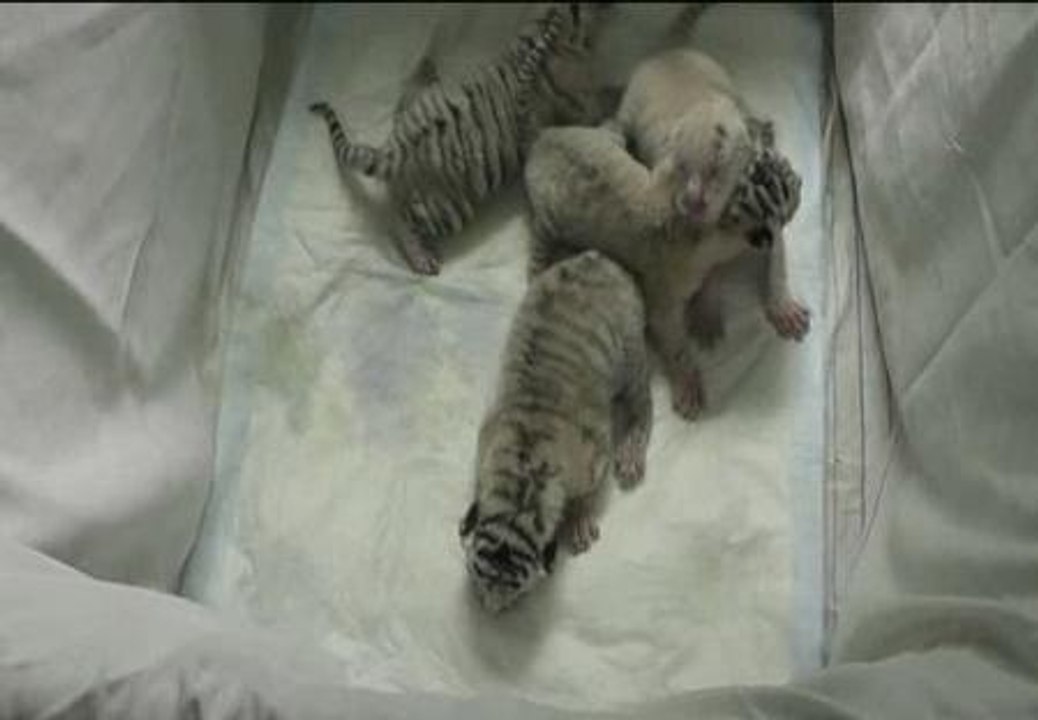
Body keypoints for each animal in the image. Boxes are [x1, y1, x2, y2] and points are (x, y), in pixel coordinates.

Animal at [310, 3, 612, 276]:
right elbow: (593, 109)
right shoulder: (577, 101)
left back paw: (425, 69)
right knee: (401, 223)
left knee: (405, 102)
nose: (608, 7)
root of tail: (395, 150)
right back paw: (421, 258)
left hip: (420, 108)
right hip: (449, 208)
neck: (537, 35)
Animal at [460, 250, 652, 613]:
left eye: (515, 587)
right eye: (479, 574)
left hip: (632, 342)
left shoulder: (593, 458)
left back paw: (632, 448)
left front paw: (578, 520)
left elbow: (587, 492)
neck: (526, 477)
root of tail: (596, 258)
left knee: (641, 400)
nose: (491, 611)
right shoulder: (485, 444)